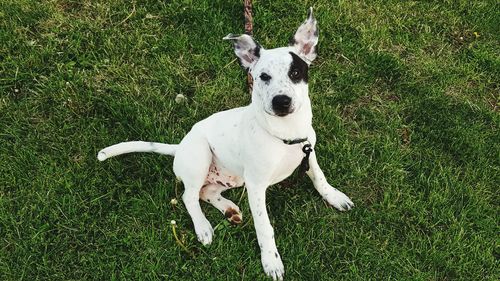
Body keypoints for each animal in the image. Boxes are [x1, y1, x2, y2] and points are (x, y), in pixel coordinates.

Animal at [97, 7, 354, 278]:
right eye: (263, 77)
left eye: (295, 73)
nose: (281, 102)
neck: (284, 134)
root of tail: (180, 146)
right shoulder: (256, 185)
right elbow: (264, 227)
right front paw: (271, 261)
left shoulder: (308, 150)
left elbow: (319, 177)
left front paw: (334, 196)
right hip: (201, 157)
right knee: (190, 196)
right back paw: (203, 227)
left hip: (234, 177)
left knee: (206, 191)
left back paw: (229, 208)